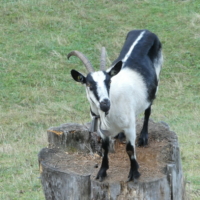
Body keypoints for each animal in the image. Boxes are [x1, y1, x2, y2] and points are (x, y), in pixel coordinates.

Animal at [67, 29, 162, 181]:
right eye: (89, 85)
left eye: (109, 81)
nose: (105, 104)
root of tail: (145, 31)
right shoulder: (102, 131)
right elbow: (105, 148)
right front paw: (102, 172)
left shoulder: (130, 126)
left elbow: (130, 149)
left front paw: (134, 173)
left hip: (156, 81)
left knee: (148, 110)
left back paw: (143, 138)